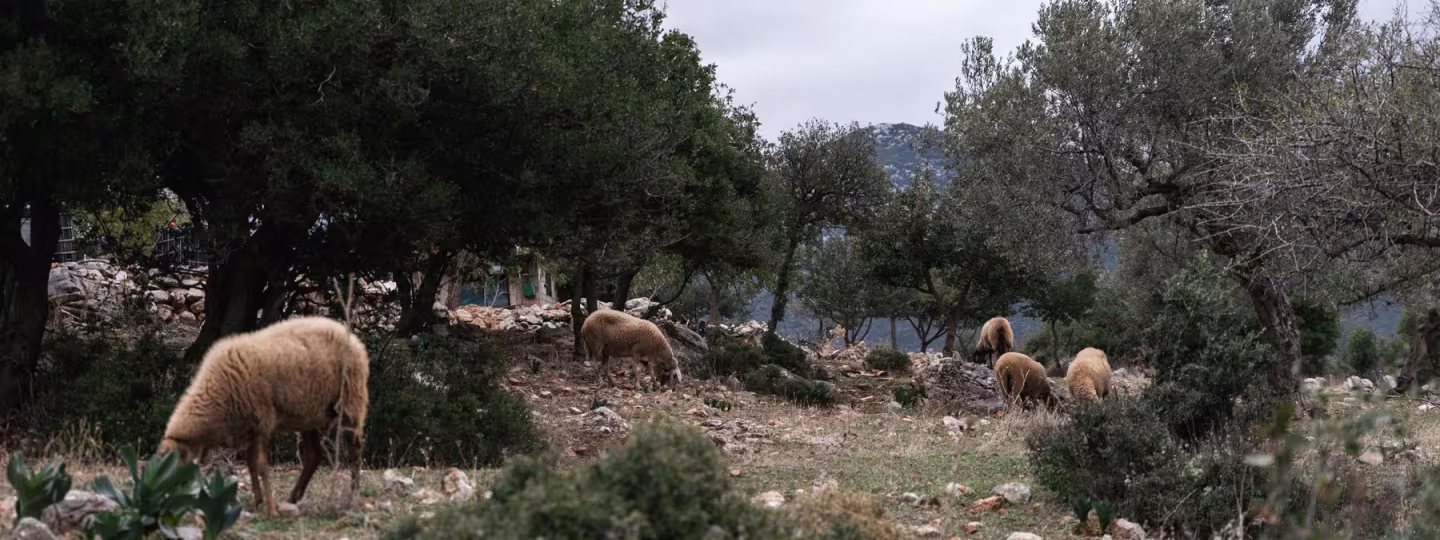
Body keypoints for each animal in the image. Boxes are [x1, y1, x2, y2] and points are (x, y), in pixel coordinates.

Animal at [158, 316, 369, 517]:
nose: (167, 500)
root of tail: (352, 337)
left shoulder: (262, 420)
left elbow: (261, 465)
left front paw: (270, 509)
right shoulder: (253, 427)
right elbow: (251, 464)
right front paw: (257, 502)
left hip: (350, 399)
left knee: (355, 447)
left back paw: (354, 493)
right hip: (310, 414)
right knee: (315, 454)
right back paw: (293, 498)